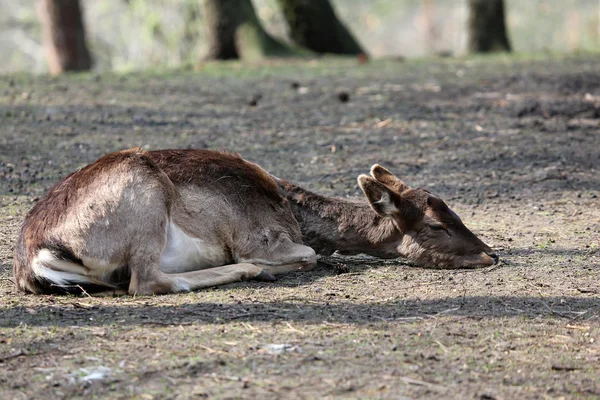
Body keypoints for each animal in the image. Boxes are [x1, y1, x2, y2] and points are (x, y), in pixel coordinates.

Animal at [14, 148, 500, 296]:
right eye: (436, 226)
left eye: (455, 213)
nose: (491, 255)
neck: (293, 212)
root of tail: (31, 259)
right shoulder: (260, 235)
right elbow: (306, 254)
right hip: (144, 197)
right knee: (146, 281)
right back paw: (252, 271)